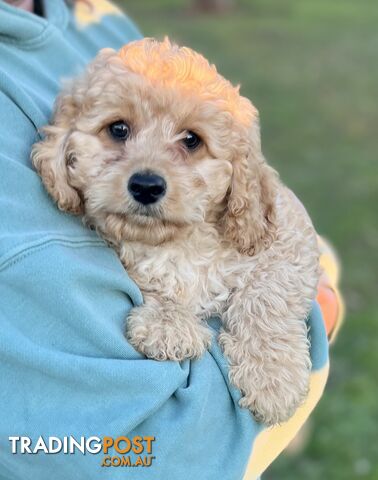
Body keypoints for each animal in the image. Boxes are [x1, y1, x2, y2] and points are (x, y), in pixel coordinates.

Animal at [32, 38, 318, 428]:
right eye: (118, 129)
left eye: (192, 140)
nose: (146, 186)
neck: (181, 242)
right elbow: (151, 282)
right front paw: (167, 325)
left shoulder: (288, 239)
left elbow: (267, 295)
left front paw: (274, 380)